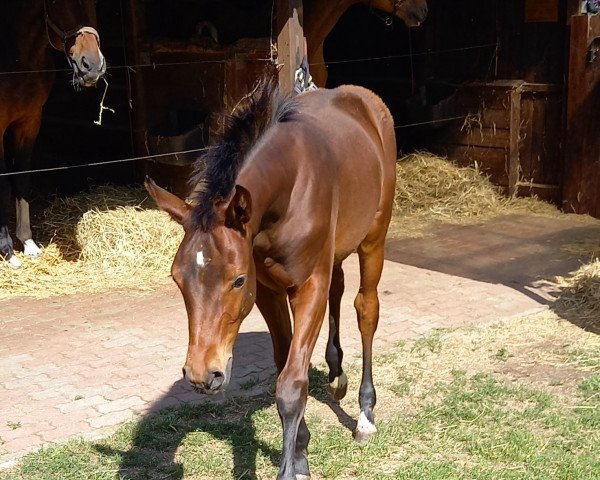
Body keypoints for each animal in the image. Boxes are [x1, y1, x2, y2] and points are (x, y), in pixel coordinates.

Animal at [0, 0, 105, 268]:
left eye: (95, 3)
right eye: (58, 3)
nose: (92, 66)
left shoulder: (30, 123)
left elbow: (22, 178)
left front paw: (27, 242)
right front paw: (7, 250)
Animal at [146, 79, 398, 480]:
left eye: (237, 280)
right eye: (176, 279)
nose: (203, 375)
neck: (291, 185)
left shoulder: (307, 284)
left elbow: (292, 385)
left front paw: (292, 466)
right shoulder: (267, 290)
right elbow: (285, 363)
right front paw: (302, 451)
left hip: (374, 237)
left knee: (366, 309)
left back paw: (365, 415)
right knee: (339, 289)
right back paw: (336, 374)